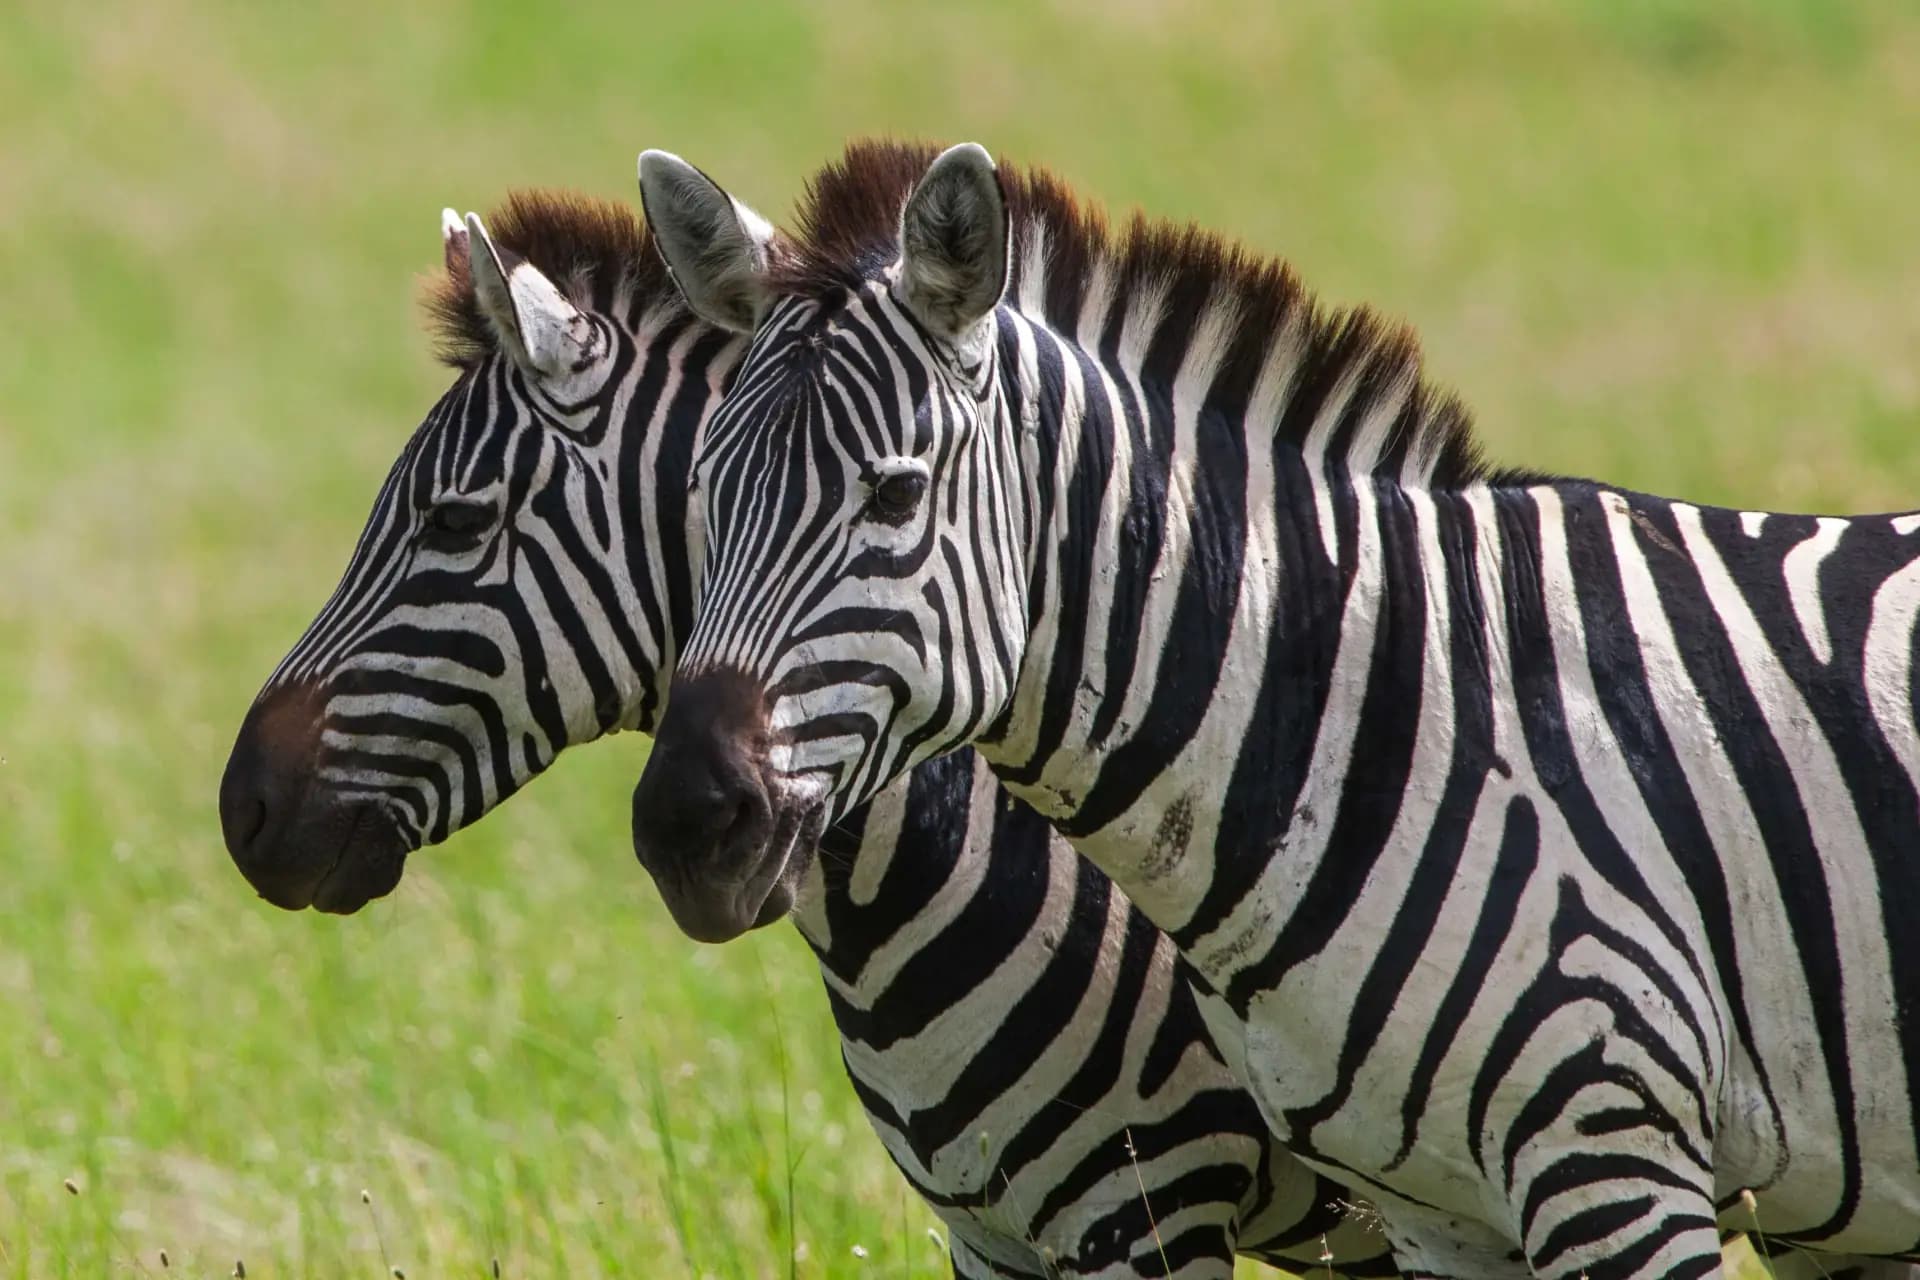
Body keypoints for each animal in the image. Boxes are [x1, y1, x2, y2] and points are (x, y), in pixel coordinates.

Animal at [629, 138, 1920, 1279]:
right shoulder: (1442, 1212)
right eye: (700, 491)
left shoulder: (1611, 1151)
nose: (687, 821)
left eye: (894, 495)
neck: (1376, 707)